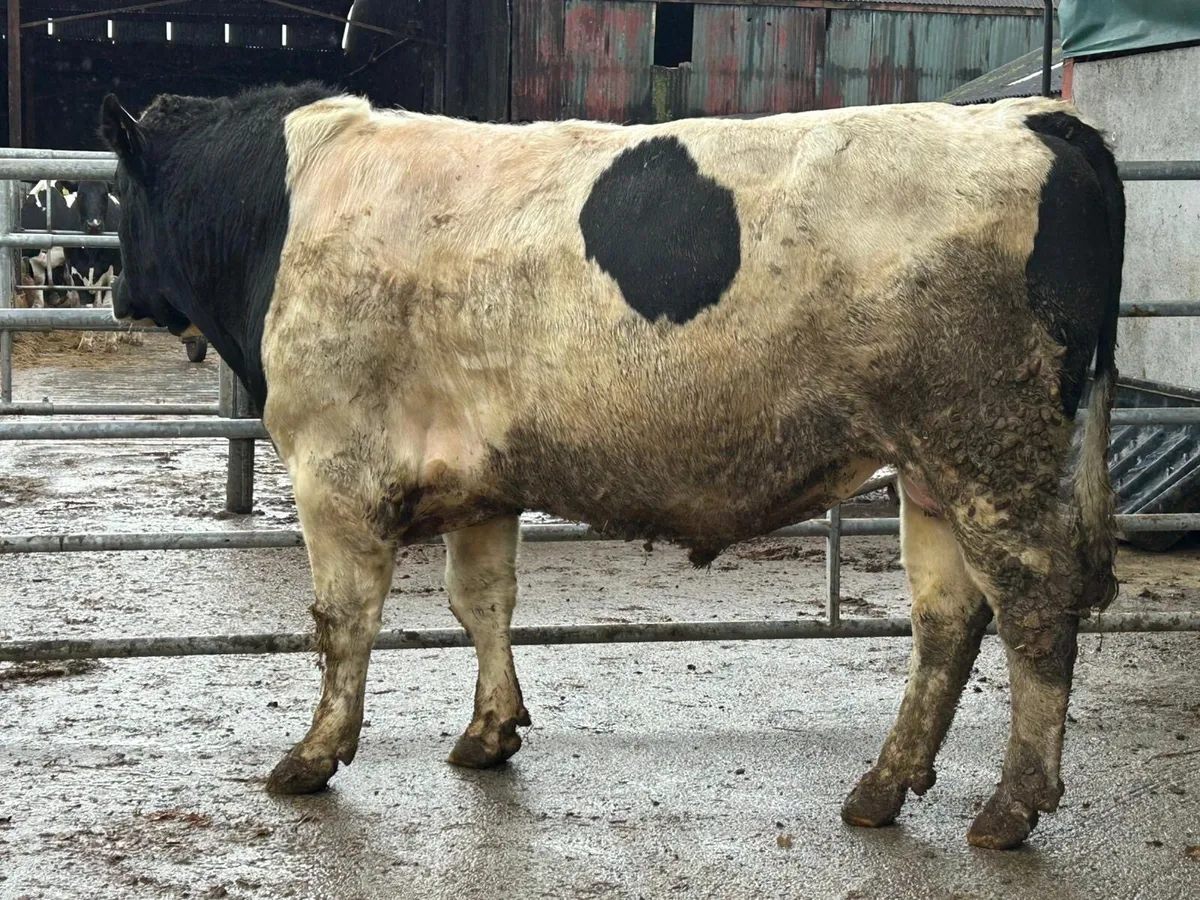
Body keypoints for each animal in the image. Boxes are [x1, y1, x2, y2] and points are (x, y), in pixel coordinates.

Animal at [99, 83, 1124, 851]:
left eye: (118, 195)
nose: (115, 297)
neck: (285, 205)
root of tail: (1039, 117)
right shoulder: (484, 480)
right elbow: (483, 602)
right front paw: (490, 732)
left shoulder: (335, 467)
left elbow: (343, 622)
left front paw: (313, 756)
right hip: (930, 470)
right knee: (948, 618)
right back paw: (883, 785)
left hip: (987, 447)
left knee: (1035, 604)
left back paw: (1011, 805)